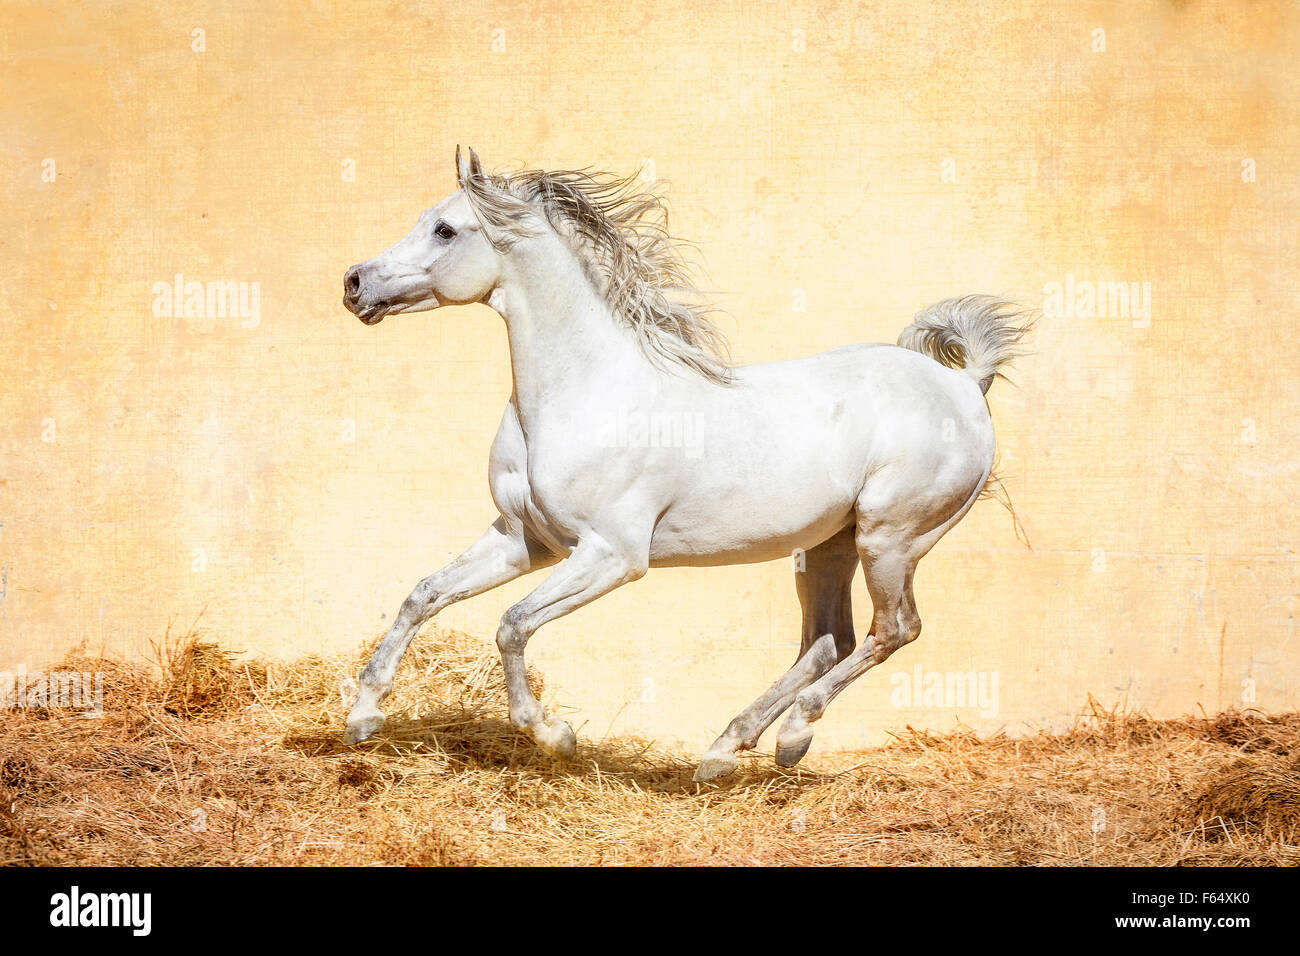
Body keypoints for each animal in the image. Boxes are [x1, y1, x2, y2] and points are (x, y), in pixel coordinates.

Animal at [340, 147, 1029, 780]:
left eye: (445, 229)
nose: (354, 283)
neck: (586, 391)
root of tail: (963, 385)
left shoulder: (612, 555)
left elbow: (511, 625)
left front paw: (553, 735)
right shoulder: (524, 542)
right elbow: (424, 594)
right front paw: (363, 717)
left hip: (891, 538)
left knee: (895, 629)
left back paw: (792, 736)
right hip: (828, 544)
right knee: (829, 639)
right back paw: (725, 751)